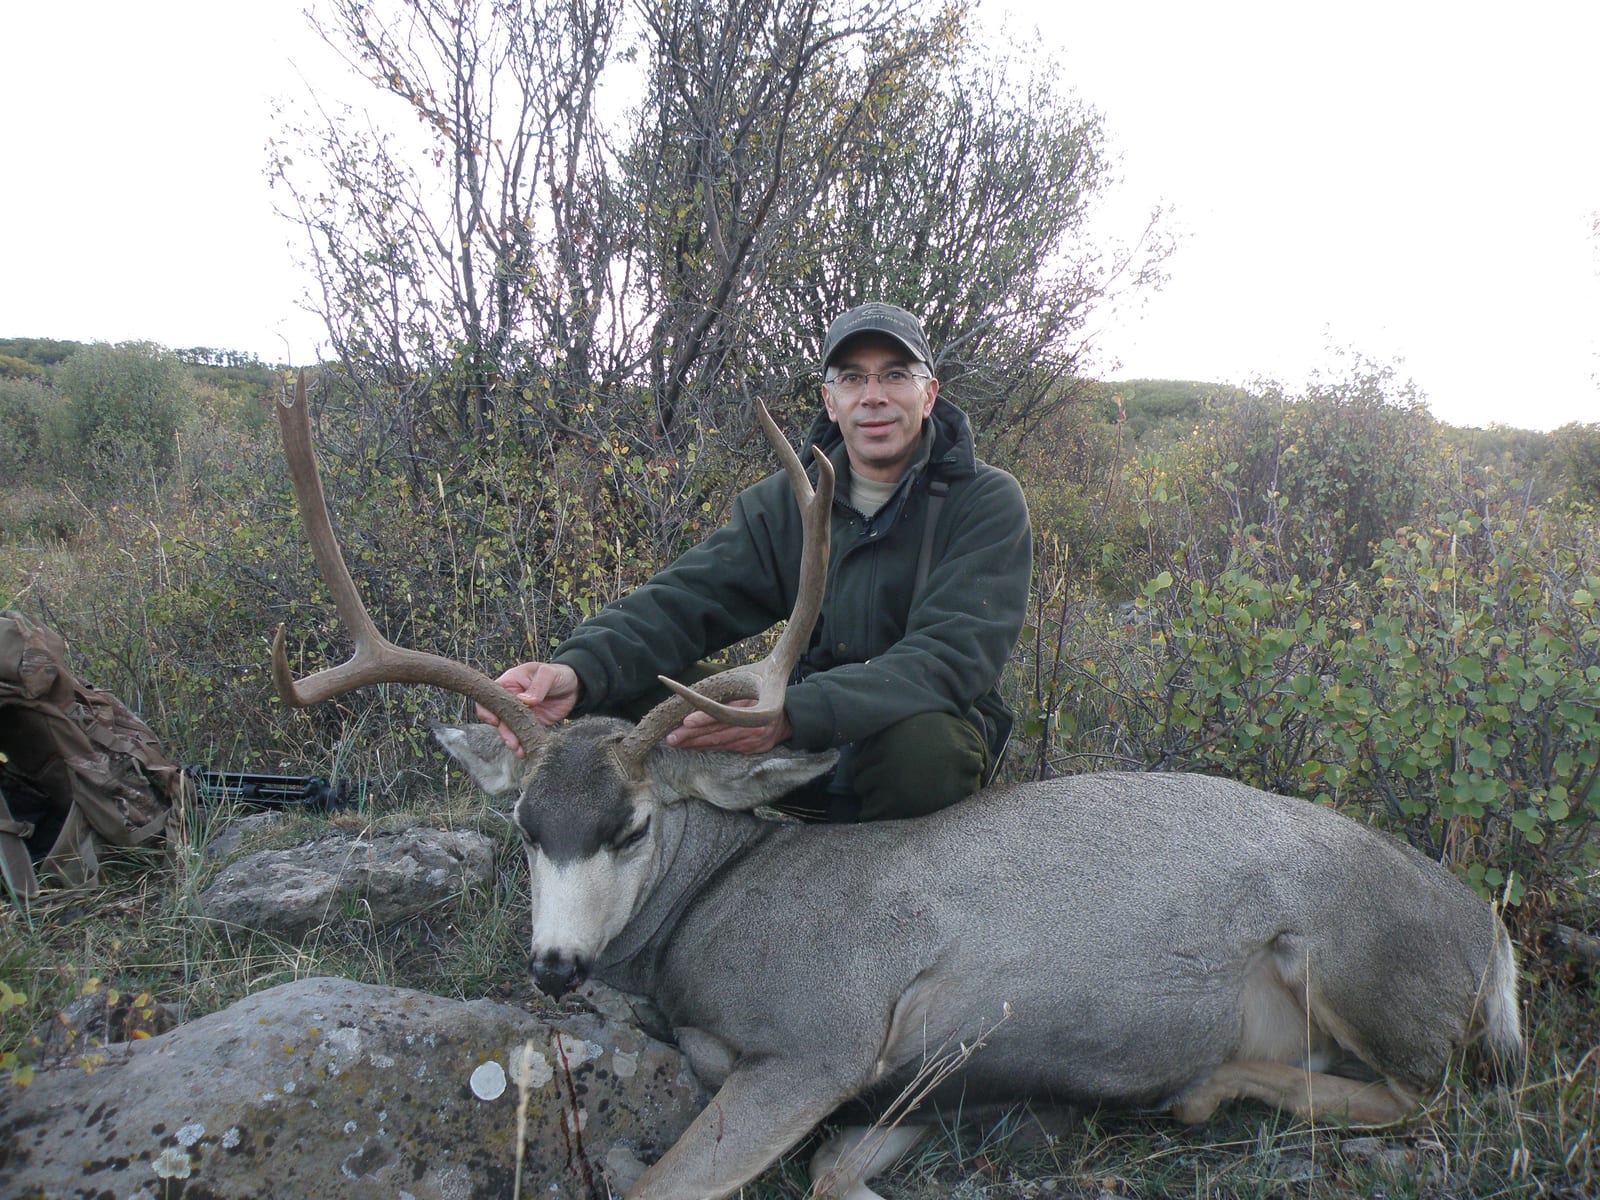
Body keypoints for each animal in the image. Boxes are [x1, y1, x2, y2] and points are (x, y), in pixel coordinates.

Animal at [269, 371, 1523, 1200]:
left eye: (629, 826)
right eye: (526, 825)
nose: (555, 967)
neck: (717, 912)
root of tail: (1491, 932)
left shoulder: (823, 1040)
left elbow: (660, 1184)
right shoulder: (910, 1081)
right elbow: (834, 1173)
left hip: (1352, 962)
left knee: (1431, 1094)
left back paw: (1207, 1088)